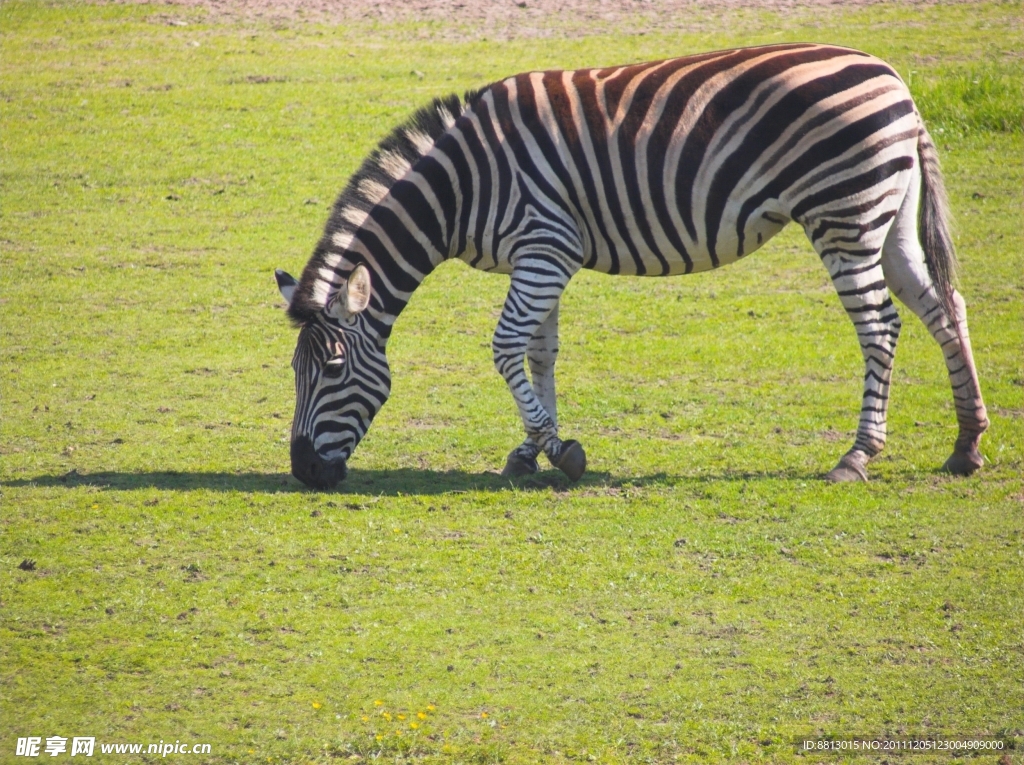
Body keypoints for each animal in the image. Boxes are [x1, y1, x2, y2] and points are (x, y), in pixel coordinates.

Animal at [272, 43, 983, 491]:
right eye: (294, 372)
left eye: (331, 369)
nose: (304, 472)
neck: (463, 184)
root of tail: (895, 81)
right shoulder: (544, 255)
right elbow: (538, 353)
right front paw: (532, 449)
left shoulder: (544, 246)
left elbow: (504, 347)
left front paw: (561, 452)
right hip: (887, 213)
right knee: (943, 305)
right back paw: (966, 445)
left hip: (845, 214)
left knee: (881, 326)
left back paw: (856, 456)